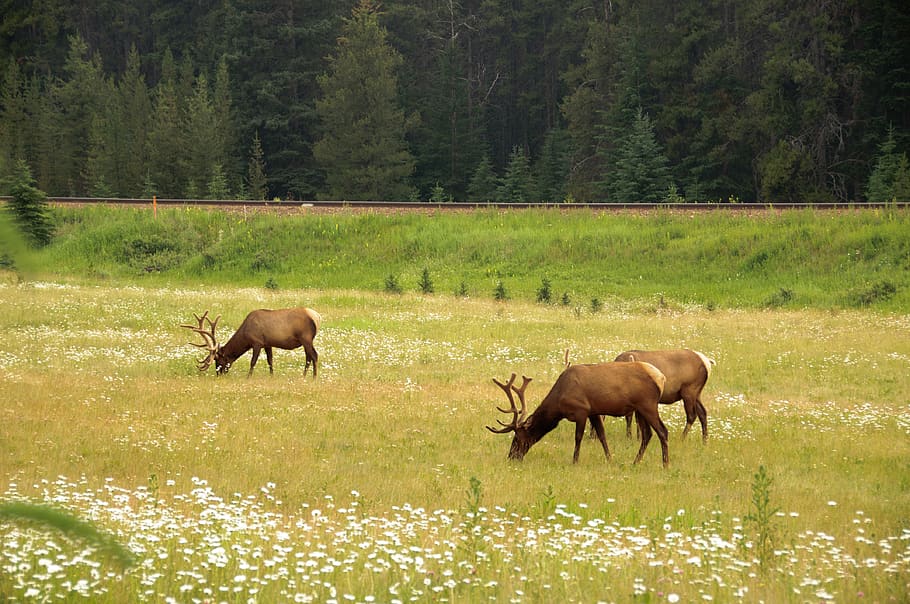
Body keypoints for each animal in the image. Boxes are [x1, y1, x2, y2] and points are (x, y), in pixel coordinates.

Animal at [182, 308, 320, 377]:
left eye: (218, 360)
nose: (218, 374)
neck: (245, 334)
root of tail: (317, 317)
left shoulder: (257, 342)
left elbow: (253, 362)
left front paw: (248, 377)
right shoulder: (267, 344)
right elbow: (270, 361)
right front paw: (272, 376)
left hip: (306, 338)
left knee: (314, 355)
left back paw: (314, 377)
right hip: (305, 341)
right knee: (308, 357)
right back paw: (304, 376)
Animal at [487, 362, 670, 467]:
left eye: (517, 438)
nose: (511, 457)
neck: (559, 404)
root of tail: (661, 378)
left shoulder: (581, 410)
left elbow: (578, 437)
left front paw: (574, 461)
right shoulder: (594, 411)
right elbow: (602, 435)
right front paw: (610, 459)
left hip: (647, 404)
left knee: (663, 431)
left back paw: (665, 464)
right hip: (640, 409)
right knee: (647, 434)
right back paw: (635, 462)